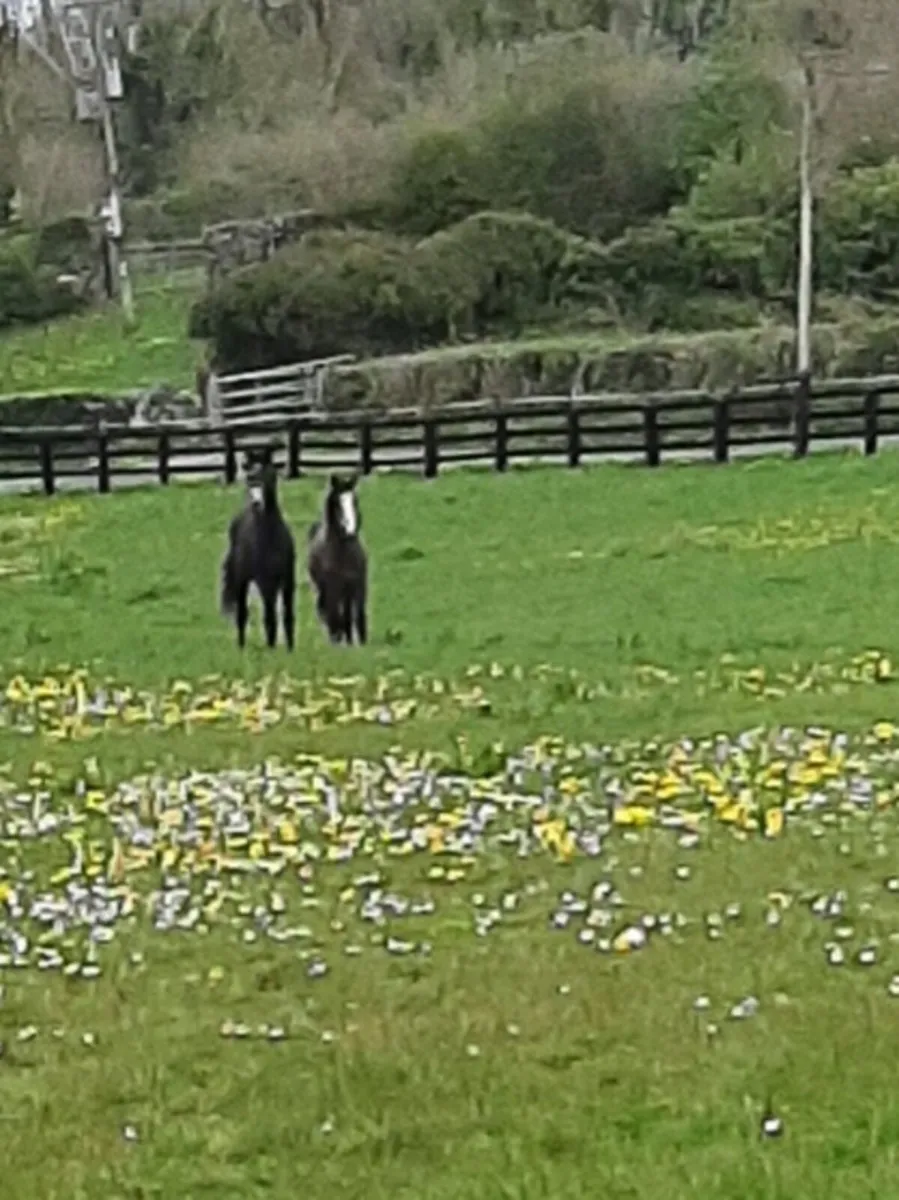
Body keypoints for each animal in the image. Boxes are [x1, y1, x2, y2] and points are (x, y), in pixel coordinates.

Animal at [220, 446, 296, 650]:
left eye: (269, 475)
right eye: (249, 478)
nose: (257, 503)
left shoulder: (287, 580)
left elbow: (288, 616)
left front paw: (290, 649)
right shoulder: (265, 581)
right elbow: (269, 618)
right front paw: (271, 649)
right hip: (243, 580)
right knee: (242, 614)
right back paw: (242, 647)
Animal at [306, 473, 368, 645]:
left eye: (355, 501)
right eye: (338, 505)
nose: (350, 531)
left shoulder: (358, 585)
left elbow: (359, 616)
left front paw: (362, 642)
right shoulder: (333, 588)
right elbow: (334, 616)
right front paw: (338, 638)